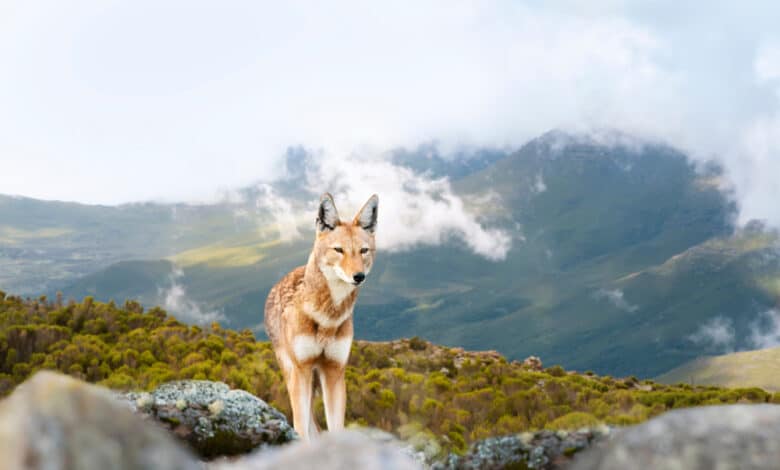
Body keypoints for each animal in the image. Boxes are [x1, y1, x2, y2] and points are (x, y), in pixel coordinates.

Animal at [264, 192, 380, 440]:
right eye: (339, 250)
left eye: (363, 251)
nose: (359, 276)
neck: (328, 317)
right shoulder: (302, 369)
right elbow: (301, 427)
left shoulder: (335, 371)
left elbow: (336, 427)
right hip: (294, 374)